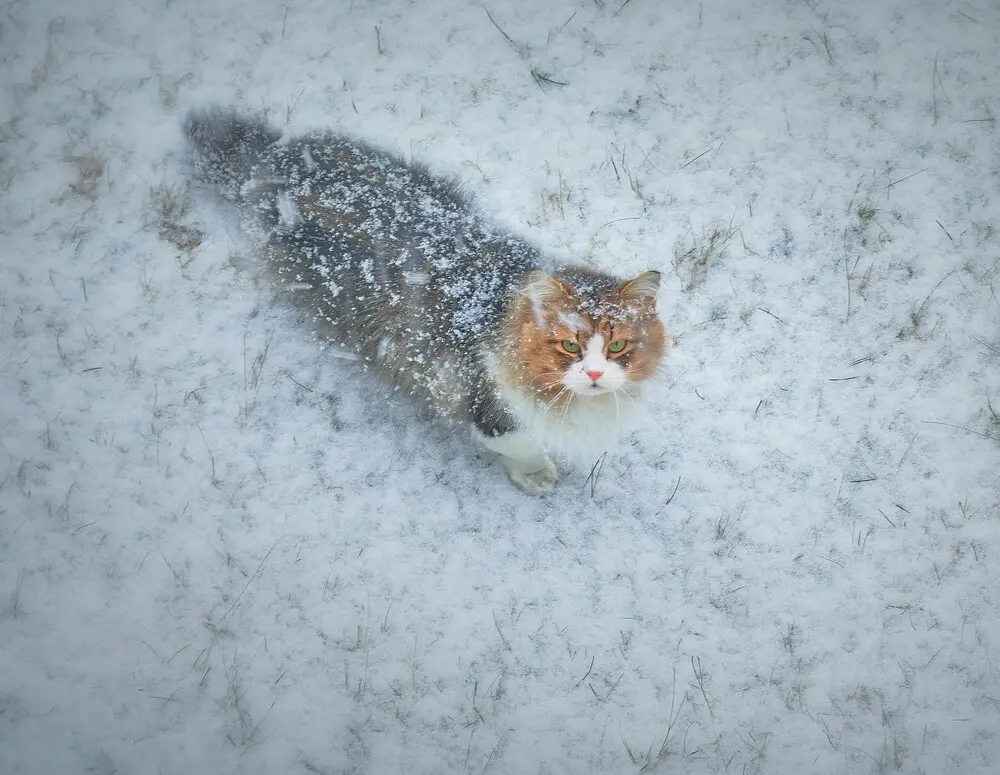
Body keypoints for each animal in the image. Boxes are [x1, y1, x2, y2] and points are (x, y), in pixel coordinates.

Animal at [186, 107, 672, 494]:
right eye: (569, 345)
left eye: (617, 345)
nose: (595, 373)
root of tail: (277, 152)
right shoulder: (483, 398)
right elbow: (518, 442)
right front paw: (535, 475)